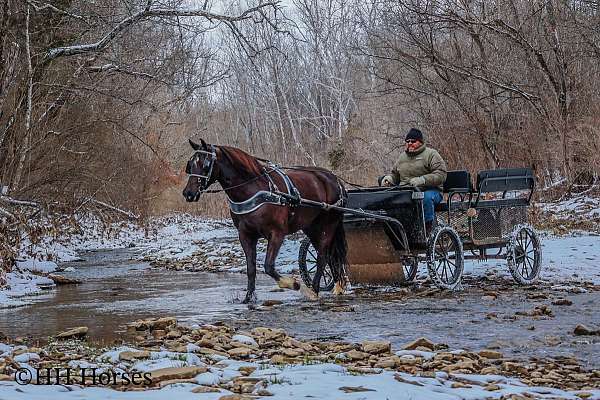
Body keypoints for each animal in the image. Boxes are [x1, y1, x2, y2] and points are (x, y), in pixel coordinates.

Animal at [183, 139, 346, 302]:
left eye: (205, 165)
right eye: (190, 165)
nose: (188, 193)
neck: (254, 190)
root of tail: (335, 179)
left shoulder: (277, 234)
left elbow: (268, 266)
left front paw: (293, 284)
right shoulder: (245, 235)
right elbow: (251, 268)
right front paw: (248, 298)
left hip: (328, 225)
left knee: (322, 258)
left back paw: (314, 290)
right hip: (312, 228)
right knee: (328, 256)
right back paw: (336, 286)